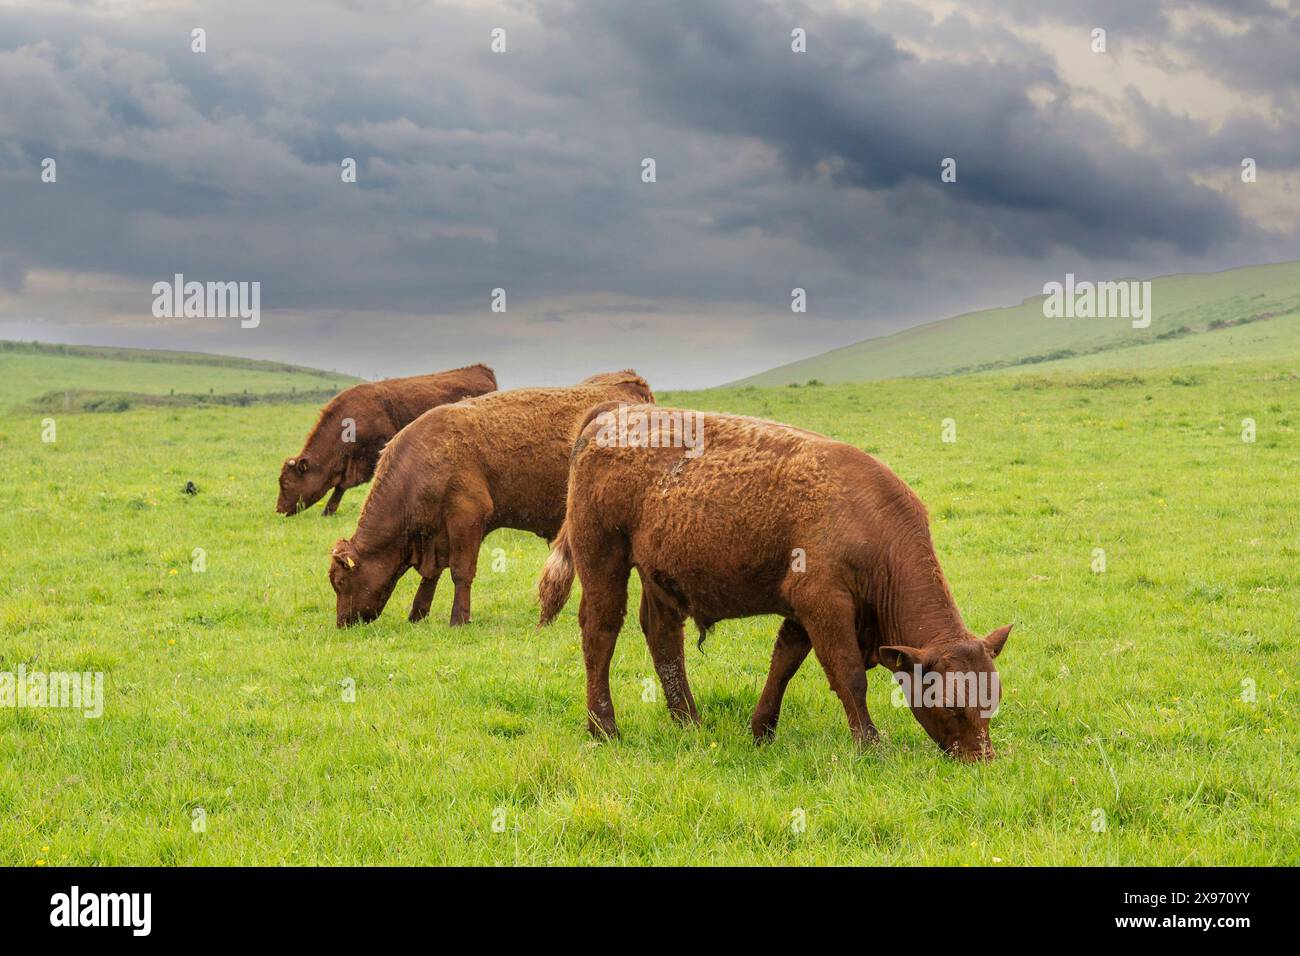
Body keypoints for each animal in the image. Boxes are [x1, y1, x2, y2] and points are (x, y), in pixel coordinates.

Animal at [325, 371, 650, 629]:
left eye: (340, 582)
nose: (343, 623)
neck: (423, 459)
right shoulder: (437, 533)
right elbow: (432, 575)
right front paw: (417, 614)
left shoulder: (467, 517)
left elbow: (461, 572)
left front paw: (459, 619)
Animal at [538, 403, 1013, 764]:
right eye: (948, 702)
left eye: (992, 697)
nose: (981, 758)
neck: (875, 526)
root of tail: (612, 414)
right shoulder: (824, 604)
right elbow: (848, 674)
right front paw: (870, 745)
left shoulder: (802, 612)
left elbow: (783, 664)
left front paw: (760, 730)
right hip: (603, 560)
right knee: (600, 633)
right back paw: (604, 727)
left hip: (659, 578)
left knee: (663, 638)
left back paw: (689, 722)